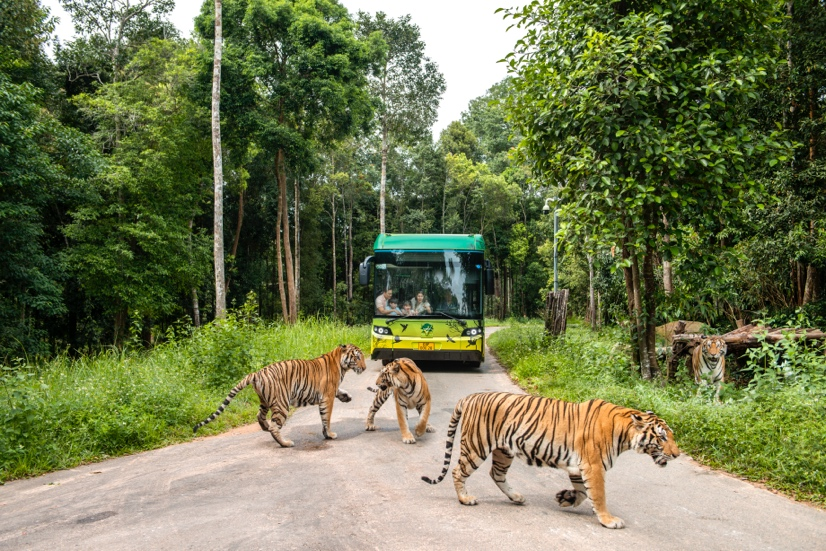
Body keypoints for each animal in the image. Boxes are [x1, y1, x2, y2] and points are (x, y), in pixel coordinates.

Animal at [193, 342, 364, 446]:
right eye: (357, 357)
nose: (364, 367)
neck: (341, 363)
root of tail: (256, 373)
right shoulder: (327, 397)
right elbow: (326, 418)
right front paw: (329, 434)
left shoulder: (330, 391)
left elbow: (338, 394)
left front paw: (347, 397)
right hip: (281, 403)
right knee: (275, 427)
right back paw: (285, 443)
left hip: (264, 400)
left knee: (260, 416)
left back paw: (265, 427)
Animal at [422, 392, 680, 532]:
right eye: (662, 437)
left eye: (671, 436)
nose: (677, 454)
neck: (625, 433)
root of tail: (470, 397)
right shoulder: (594, 466)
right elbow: (598, 495)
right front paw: (609, 520)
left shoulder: (579, 466)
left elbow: (583, 492)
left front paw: (566, 498)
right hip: (477, 446)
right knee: (458, 471)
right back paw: (465, 499)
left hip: (504, 450)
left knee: (496, 474)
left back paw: (517, 497)